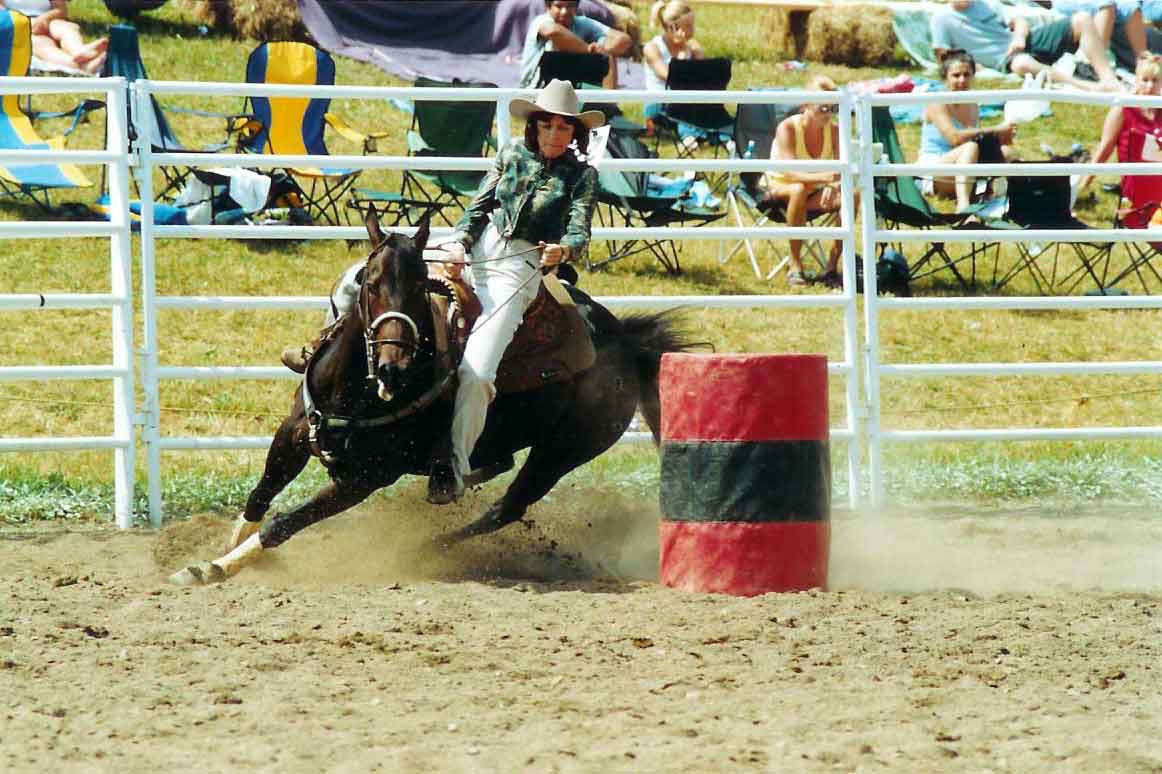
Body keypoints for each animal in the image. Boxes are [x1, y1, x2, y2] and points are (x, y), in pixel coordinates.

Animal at [169, 211, 697, 585]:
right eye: (367, 282)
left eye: (421, 287)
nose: (392, 366)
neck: (356, 390)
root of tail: (624, 340)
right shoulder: (294, 434)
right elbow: (260, 496)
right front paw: (221, 551)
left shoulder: (366, 478)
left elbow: (284, 523)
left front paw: (215, 568)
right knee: (496, 468)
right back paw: (454, 478)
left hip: (562, 452)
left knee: (506, 509)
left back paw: (433, 547)